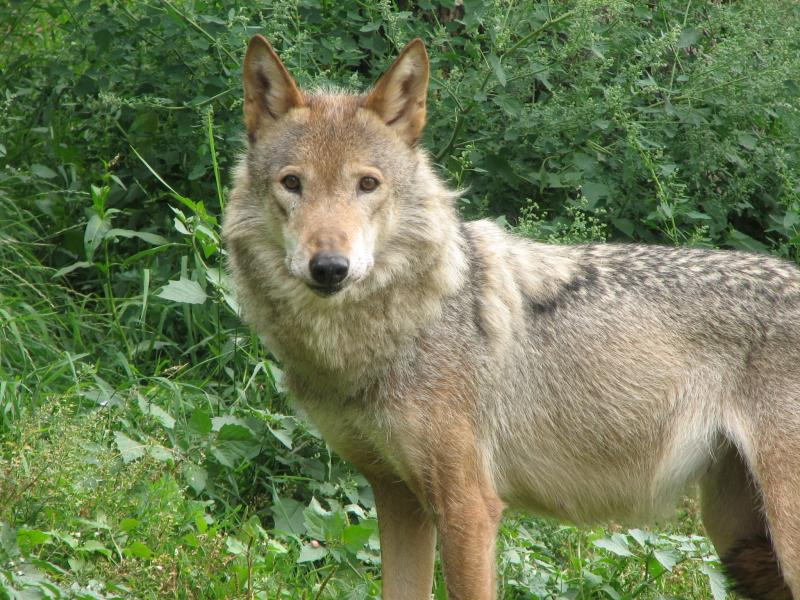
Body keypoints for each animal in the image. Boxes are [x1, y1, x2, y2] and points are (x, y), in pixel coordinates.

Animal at [222, 35, 800, 600]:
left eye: (367, 184)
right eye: (292, 183)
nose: (329, 267)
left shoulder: (469, 506)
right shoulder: (397, 497)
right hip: (739, 536)